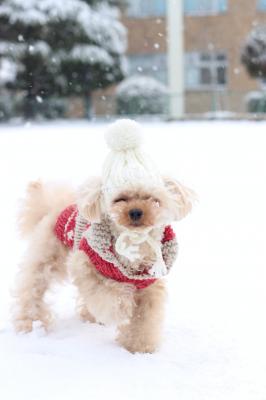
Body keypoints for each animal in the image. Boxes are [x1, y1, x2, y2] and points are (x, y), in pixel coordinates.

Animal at [13, 119, 193, 354]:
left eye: (152, 198)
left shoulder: (150, 286)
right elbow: (107, 295)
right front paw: (122, 308)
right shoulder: (85, 266)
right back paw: (30, 323)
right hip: (46, 258)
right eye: (120, 199)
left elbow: (145, 319)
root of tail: (56, 206)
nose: (136, 212)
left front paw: (139, 347)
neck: (133, 246)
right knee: (32, 289)